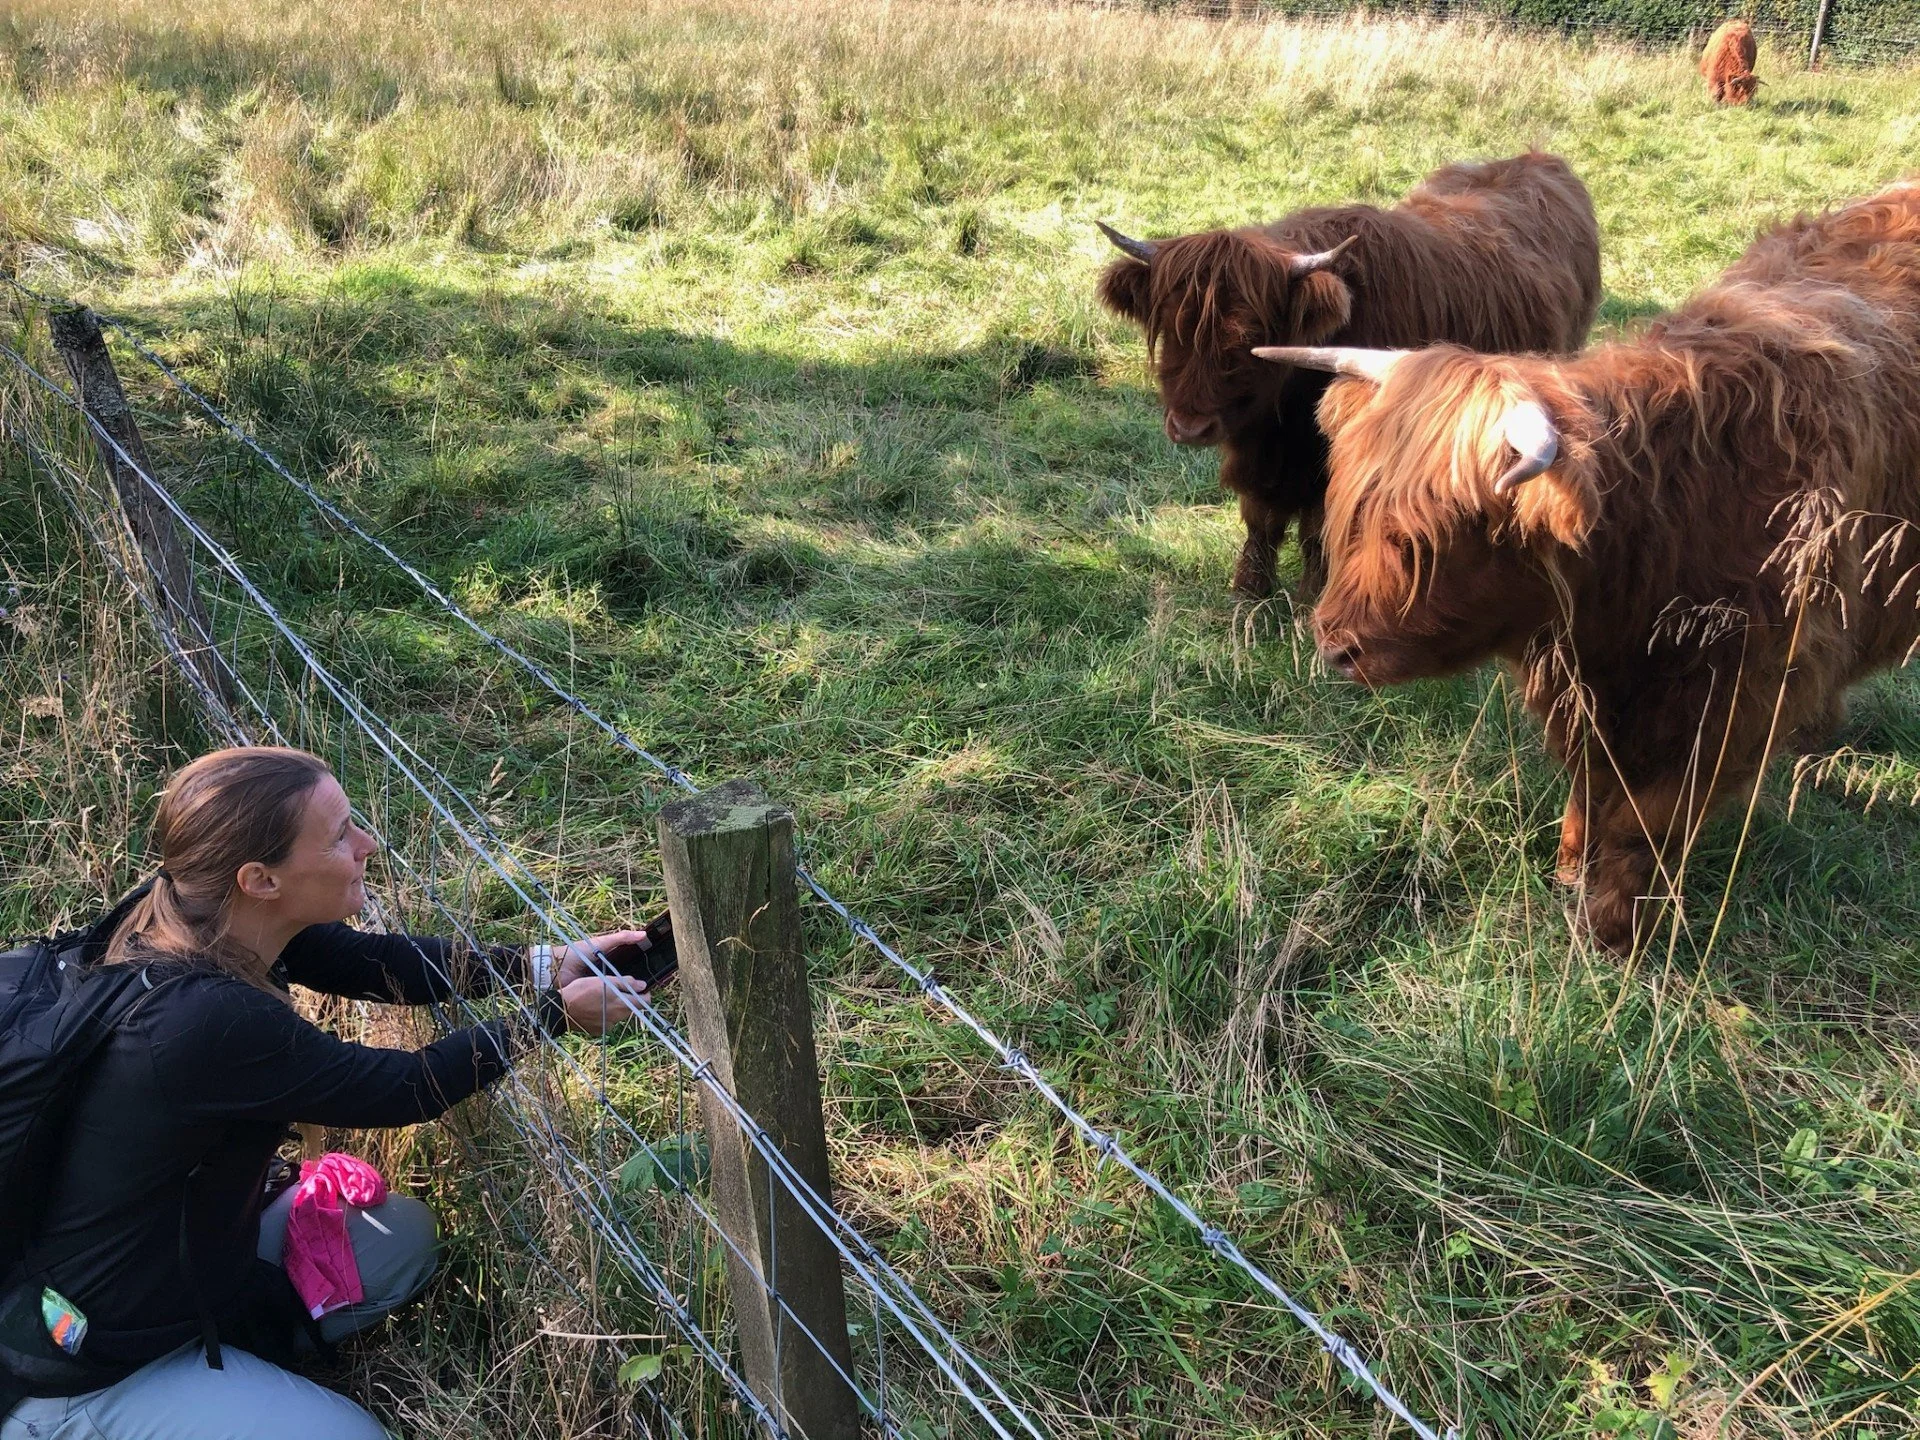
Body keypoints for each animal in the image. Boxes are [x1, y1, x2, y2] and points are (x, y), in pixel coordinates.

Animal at [1095, 151, 1600, 600]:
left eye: (1252, 335)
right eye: (1169, 324)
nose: (1189, 427)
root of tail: (1538, 159)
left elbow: (1318, 529)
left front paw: (1312, 598)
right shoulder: (1262, 456)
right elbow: (1261, 519)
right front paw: (1249, 593)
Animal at [1255, 183, 1920, 951]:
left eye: (1429, 537)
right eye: (1354, 511)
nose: (1332, 642)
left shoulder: (1727, 705)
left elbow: (1644, 825)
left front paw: (1611, 932)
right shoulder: (1582, 692)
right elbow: (1589, 783)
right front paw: (1571, 868)